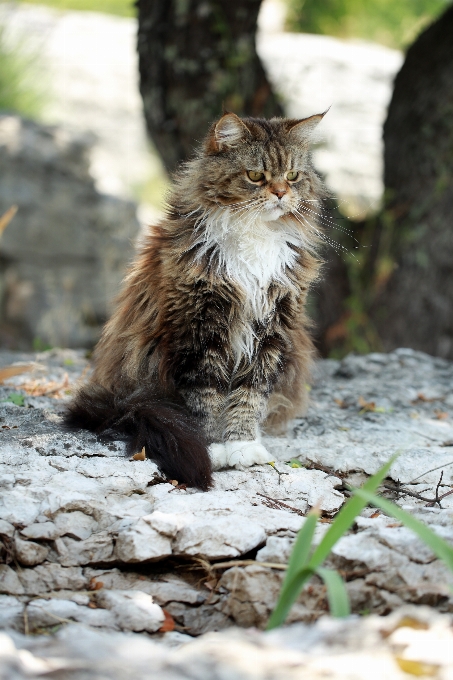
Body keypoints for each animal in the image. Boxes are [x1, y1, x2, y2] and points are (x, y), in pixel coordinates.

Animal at [64, 114, 324, 492]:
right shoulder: (200, 329)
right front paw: (214, 447)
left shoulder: (272, 329)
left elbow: (250, 393)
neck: (254, 234)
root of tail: (123, 401)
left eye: (292, 176)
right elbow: (206, 399)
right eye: (255, 176)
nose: (280, 193)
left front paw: (243, 446)